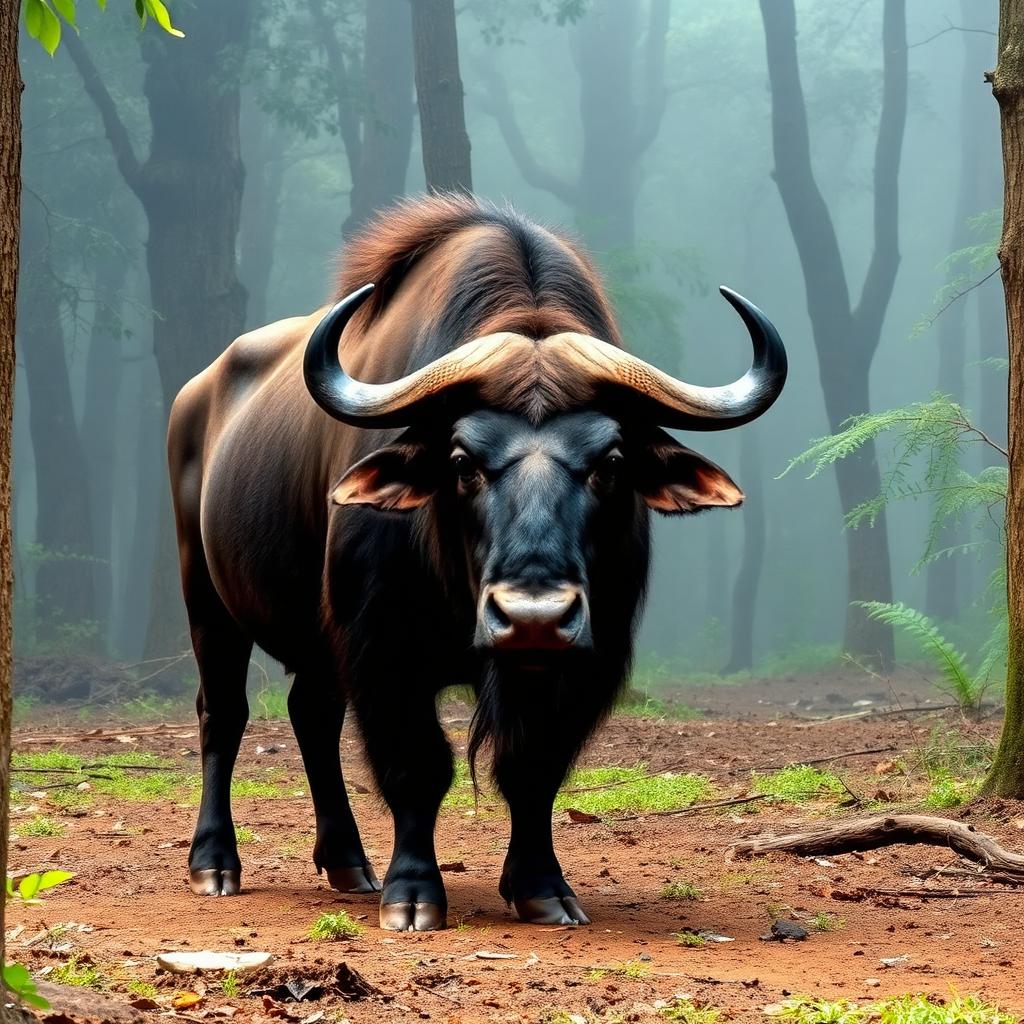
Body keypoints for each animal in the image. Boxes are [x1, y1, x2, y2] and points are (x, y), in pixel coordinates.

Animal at [168, 195, 786, 931]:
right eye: (462, 461)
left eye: (609, 462)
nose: (533, 615)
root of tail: (196, 398)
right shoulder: (383, 644)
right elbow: (418, 764)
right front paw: (412, 892)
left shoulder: (589, 656)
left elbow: (533, 765)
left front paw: (541, 886)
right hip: (206, 599)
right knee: (223, 714)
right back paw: (215, 862)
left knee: (311, 714)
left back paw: (347, 862)